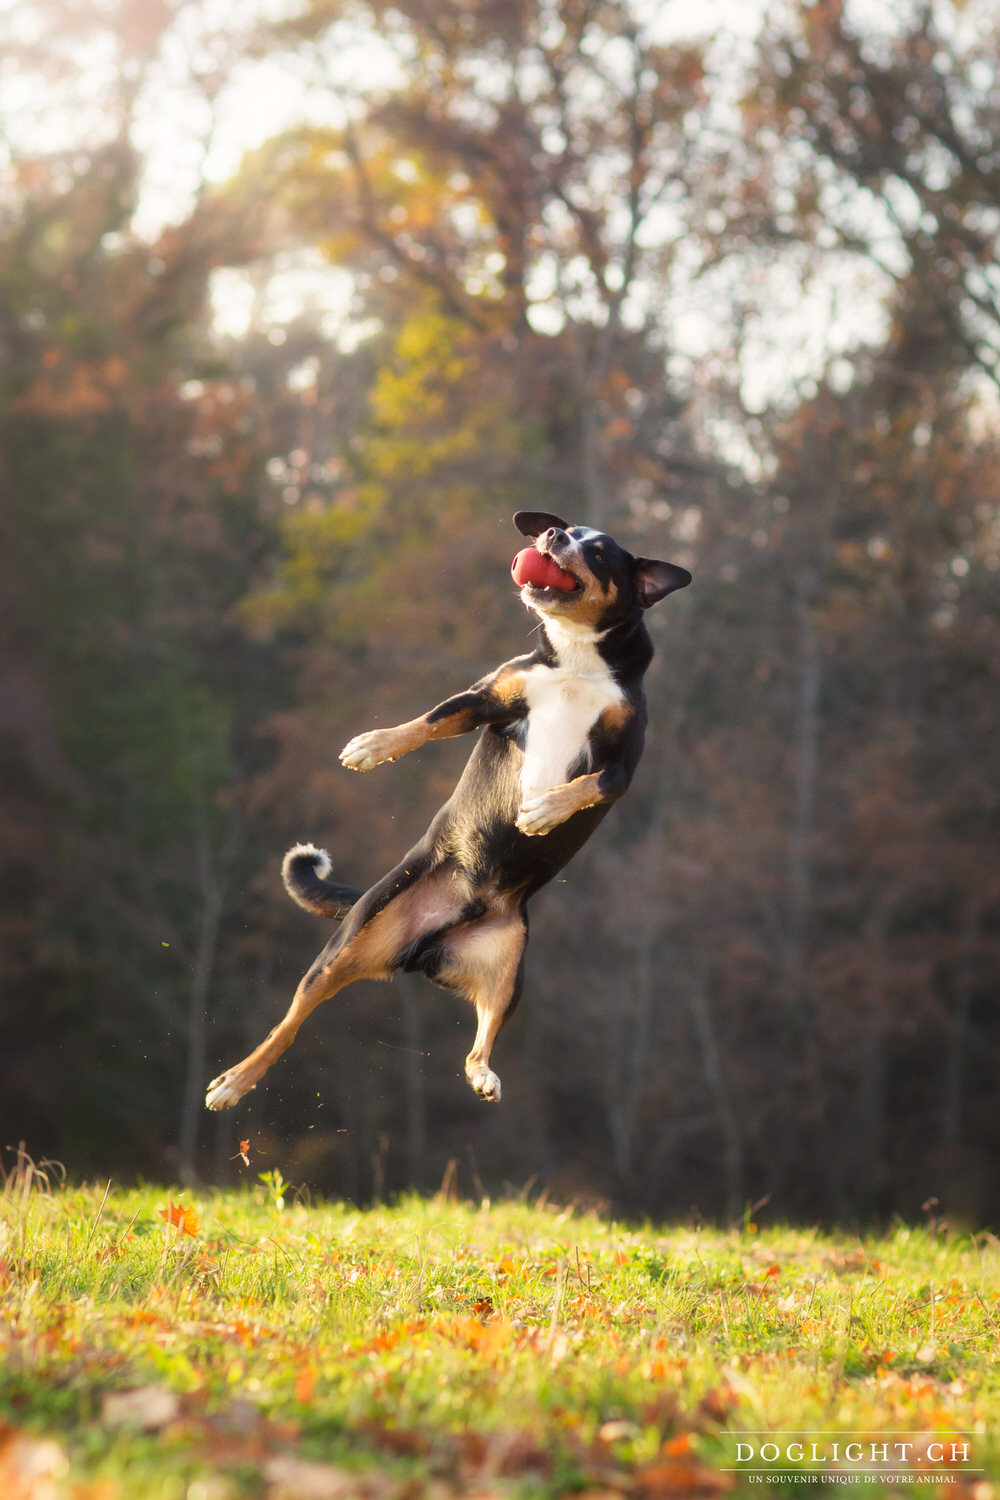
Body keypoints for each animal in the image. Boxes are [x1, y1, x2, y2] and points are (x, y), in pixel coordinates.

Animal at [203, 516, 689, 1116]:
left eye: (597, 552)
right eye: (569, 529)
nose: (551, 536)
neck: (577, 659)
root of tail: (431, 938)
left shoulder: (623, 766)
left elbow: (585, 783)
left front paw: (543, 810)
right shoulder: (487, 701)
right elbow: (428, 722)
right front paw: (374, 746)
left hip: (508, 969)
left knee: (478, 1043)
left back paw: (484, 1075)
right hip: (351, 941)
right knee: (289, 1023)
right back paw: (235, 1080)